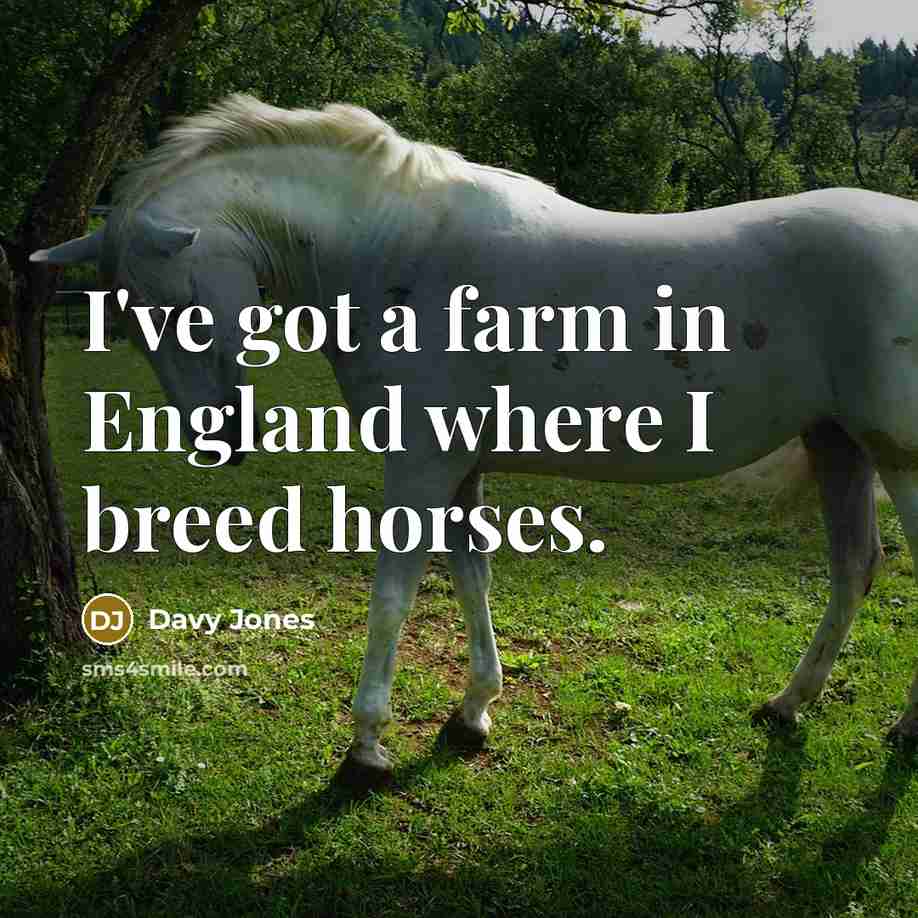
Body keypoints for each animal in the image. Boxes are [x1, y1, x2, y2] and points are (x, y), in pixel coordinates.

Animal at [31, 94, 918, 787]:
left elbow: (392, 597)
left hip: (897, 458)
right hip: (838, 445)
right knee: (853, 571)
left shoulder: (419, 467)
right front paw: (474, 713)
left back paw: (901, 729)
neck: (399, 251)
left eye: (176, 307)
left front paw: (366, 748)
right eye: (128, 318)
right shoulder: (458, 469)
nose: (217, 440)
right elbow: (471, 580)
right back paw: (789, 703)